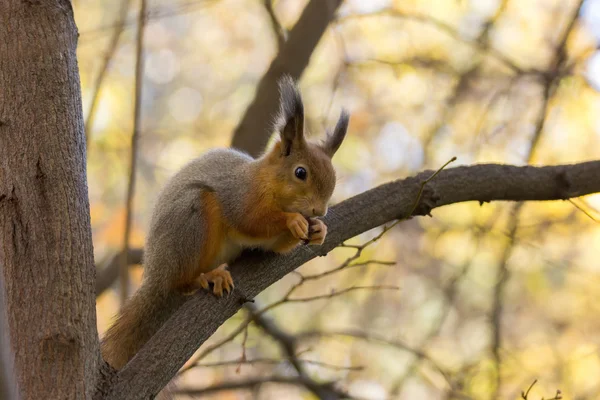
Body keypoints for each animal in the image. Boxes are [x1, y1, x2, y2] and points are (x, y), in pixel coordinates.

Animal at [101, 76, 350, 368]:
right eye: (300, 172)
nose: (319, 211)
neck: (265, 181)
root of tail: (155, 276)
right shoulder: (239, 195)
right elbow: (252, 220)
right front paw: (293, 221)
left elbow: (274, 247)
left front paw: (319, 230)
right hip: (190, 223)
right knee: (180, 282)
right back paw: (207, 277)